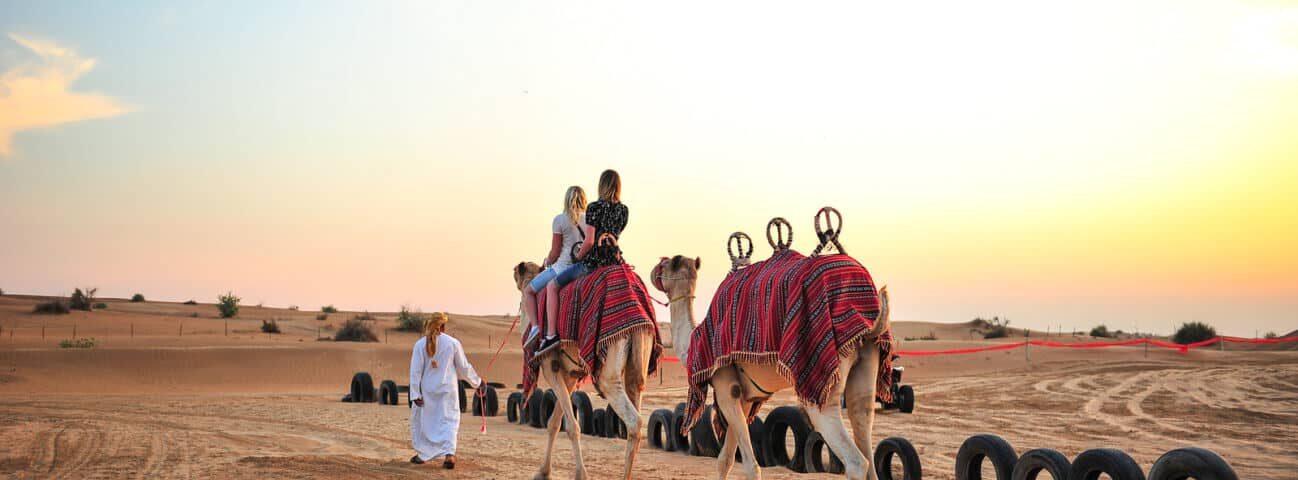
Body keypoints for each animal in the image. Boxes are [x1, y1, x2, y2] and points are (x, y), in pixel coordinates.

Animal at [511, 262, 654, 479]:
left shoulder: (550, 368)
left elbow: (571, 426)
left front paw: (580, 474)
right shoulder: (569, 374)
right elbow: (554, 422)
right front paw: (543, 471)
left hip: (609, 364)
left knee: (634, 421)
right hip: (639, 355)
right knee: (636, 392)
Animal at [659, 251, 893, 479]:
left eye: (665, 265)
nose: (655, 270)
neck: (693, 341)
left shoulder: (725, 386)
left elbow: (751, 466)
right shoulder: (744, 398)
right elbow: (725, 459)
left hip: (823, 378)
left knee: (856, 461)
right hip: (866, 361)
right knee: (863, 421)